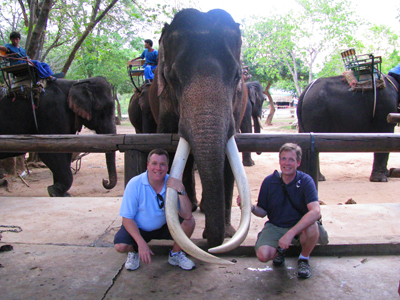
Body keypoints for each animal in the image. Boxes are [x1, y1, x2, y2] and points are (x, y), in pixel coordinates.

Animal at [130, 8, 252, 262]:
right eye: (172, 78)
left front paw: (226, 234)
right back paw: (196, 207)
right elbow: (170, 151)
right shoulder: (164, 102)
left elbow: (227, 161)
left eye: (237, 76)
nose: (210, 246)